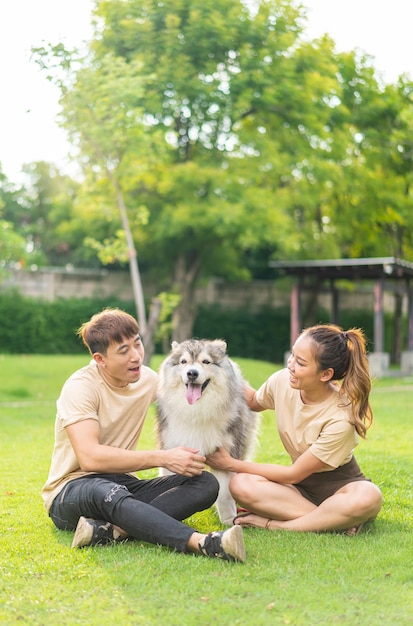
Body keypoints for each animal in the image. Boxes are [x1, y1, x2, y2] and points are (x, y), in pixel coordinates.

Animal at [156, 336, 260, 520]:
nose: (192, 373)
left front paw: (229, 521)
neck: (197, 411)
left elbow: (225, 493)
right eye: (184, 361)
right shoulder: (172, 451)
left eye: (206, 361)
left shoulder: (225, 455)